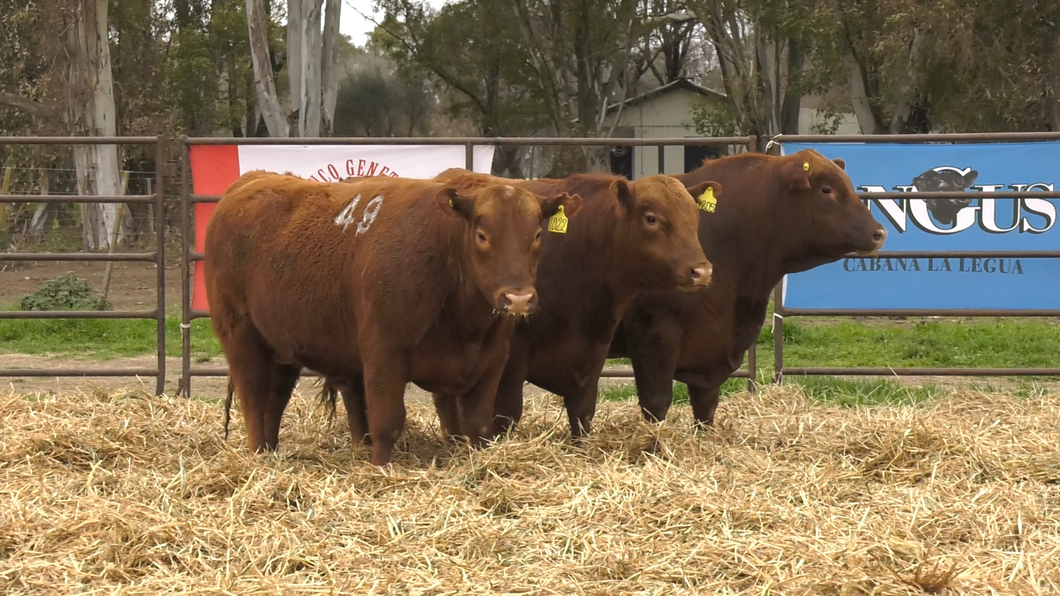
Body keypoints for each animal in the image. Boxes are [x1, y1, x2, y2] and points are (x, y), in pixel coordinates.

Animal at [199, 168, 580, 464]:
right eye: (483, 235)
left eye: (537, 234)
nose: (518, 298)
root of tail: (251, 181)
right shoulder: (384, 354)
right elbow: (386, 422)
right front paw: (380, 469)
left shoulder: (491, 361)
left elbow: (479, 426)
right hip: (240, 336)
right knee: (253, 398)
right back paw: (258, 456)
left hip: (282, 347)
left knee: (274, 402)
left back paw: (271, 452)